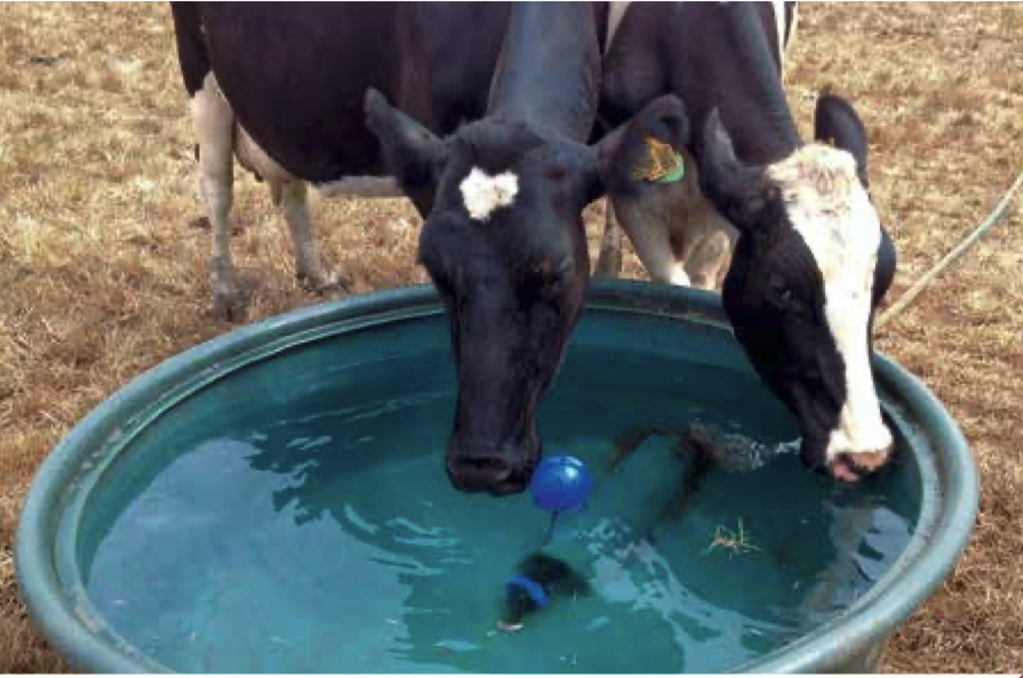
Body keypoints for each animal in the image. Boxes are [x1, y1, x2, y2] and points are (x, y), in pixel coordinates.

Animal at [171, 2, 691, 496]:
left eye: (554, 271)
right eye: (435, 270)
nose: (483, 466)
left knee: (292, 185)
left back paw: (318, 273)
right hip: (201, 75)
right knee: (216, 184)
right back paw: (224, 291)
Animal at [593, 3, 896, 482]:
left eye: (884, 279)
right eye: (781, 288)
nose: (864, 455)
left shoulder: (720, 217)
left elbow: (700, 282)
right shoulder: (635, 202)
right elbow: (671, 288)